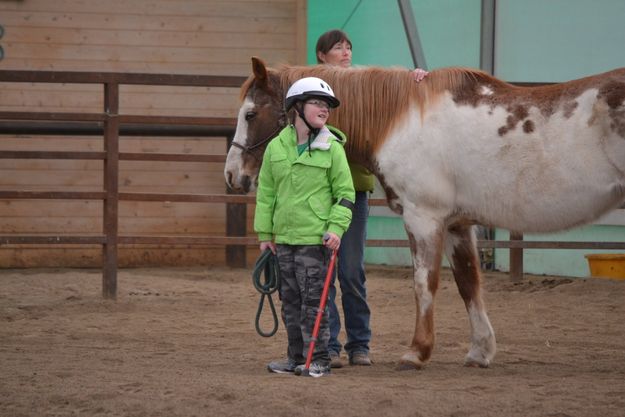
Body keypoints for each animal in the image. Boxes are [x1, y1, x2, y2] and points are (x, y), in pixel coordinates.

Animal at [224, 56, 624, 368]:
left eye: (250, 113)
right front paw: (480, 351)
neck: (403, 120)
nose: (231, 175)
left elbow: (424, 283)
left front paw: (416, 352)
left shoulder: (423, 218)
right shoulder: (458, 224)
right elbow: (468, 283)